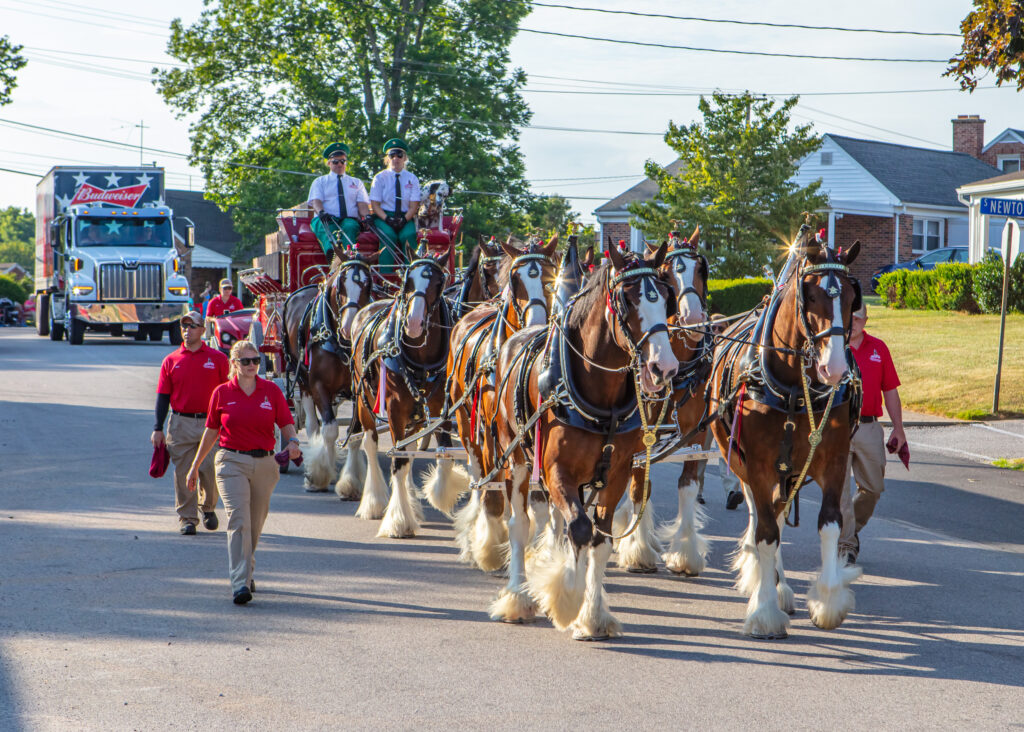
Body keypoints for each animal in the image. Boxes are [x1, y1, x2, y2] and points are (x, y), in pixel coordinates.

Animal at [280, 248, 376, 495]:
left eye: (369, 284)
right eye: (340, 284)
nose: (350, 326)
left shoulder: (358, 391)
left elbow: (355, 433)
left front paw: (350, 482)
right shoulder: (318, 385)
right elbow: (330, 430)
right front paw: (318, 476)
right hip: (302, 380)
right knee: (314, 426)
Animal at [348, 243, 452, 536]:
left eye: (439, 282)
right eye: (408, 281)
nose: (414, 323)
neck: (421, 362)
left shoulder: (439, 410)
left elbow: (441, 454)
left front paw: (439, 495)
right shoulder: (395, 409)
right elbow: (398, 461)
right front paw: (398, 520)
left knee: (411, 448)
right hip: (364, 401)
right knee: (370, 444)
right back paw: (374, 502)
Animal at [444, 234, 561, 565]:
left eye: (551, 277)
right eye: (515, 279)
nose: (537, 320)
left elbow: (536, 498)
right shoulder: (495, 427)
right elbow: (494, 485)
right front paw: (489, 543)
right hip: (466, 418)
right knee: (478, 468)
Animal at [489, 243, 679, 634]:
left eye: (666, 296)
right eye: (627, 299)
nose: (664, 367)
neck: (600, 396)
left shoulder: (617, 472)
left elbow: (600, 538)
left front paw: (592, 616)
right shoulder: (555, 470)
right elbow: (578, 527)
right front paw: (568, 604)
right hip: (516, 457)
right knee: (519, 525)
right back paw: (517, 598)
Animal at [712, 226, 864, 638]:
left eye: (851, 297)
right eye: (810, 295)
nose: (834, 368)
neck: (795, 390)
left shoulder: (833, 460)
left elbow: (830, 525)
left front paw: (827, 602)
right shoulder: (759, 467)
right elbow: (765, 534)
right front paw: (764, 610)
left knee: (778, 517)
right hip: (744, 464)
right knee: (761, 519)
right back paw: (767, 585)